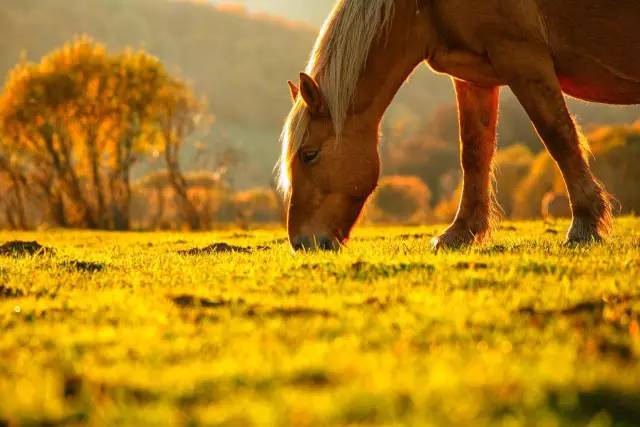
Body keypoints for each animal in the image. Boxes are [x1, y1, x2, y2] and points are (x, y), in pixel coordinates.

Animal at [278, 0, 640, 251]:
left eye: (309, 154)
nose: (303, 243)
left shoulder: (522, 56)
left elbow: (558, 136)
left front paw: (585, 224)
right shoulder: (473, 76)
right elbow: (475, 153)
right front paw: (461, 232)